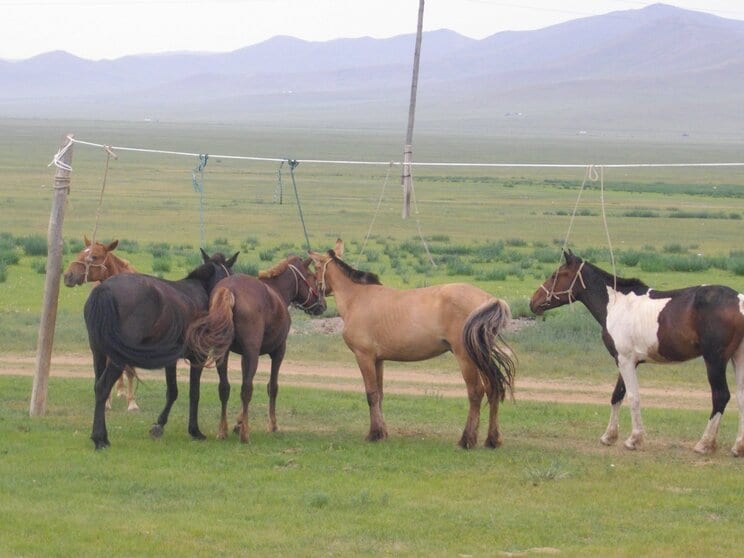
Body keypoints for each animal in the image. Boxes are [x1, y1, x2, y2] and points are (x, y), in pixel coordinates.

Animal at [62, 236, 140, 412]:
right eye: (80, 252)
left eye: (94, 256)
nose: (67, 275)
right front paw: (106, 401)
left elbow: (130, 370)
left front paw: (132, 403)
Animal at [84, 249, 237, 450]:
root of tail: (105, 289)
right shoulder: (198, 357)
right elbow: (194, 393)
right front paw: (194, 430)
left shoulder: (171, 359)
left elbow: (172, 391)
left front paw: (159, 425)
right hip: (117, 357)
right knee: (103, 387)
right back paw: (99, 438)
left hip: (99, 353)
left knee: (98, 387)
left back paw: (102, 436)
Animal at [186, 256, 326, 444]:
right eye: (312, 276)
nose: (322, 305)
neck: (277, 292)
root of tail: (229, 290)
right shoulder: (278, 351)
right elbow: (272, 387)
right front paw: (271, 424)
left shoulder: (244, 356)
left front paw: (238, 422)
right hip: (253, 354)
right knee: (246, 389)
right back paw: (245, 434)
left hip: (223, 353)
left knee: (224, 388)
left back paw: (223, 430)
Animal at [306, 241, 516, 450]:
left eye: (316, 269)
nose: (316, 305)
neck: (357, 298)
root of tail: (489, 299)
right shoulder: (378, 360)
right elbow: (380, 395)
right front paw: (382, 432)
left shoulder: (364, 357)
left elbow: (371, 394)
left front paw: (374, 434)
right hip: (480, 355)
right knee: (493, 388)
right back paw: (492, 439)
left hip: (466, 357)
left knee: (476, 392)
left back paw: (467, 439)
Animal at [528, 252, 744, 458]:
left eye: (556, 275)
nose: (533, 302)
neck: (617, 304)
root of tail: (739, 301)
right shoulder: (624, 361)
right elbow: (617, 395)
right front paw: (609, 436)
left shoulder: (625, 361)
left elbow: (633, 397)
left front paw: (634, 439)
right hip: (738, 359)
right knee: (740, 397)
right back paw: (738, 447)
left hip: (715, 361)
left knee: (720, 396)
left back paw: (704, 444)